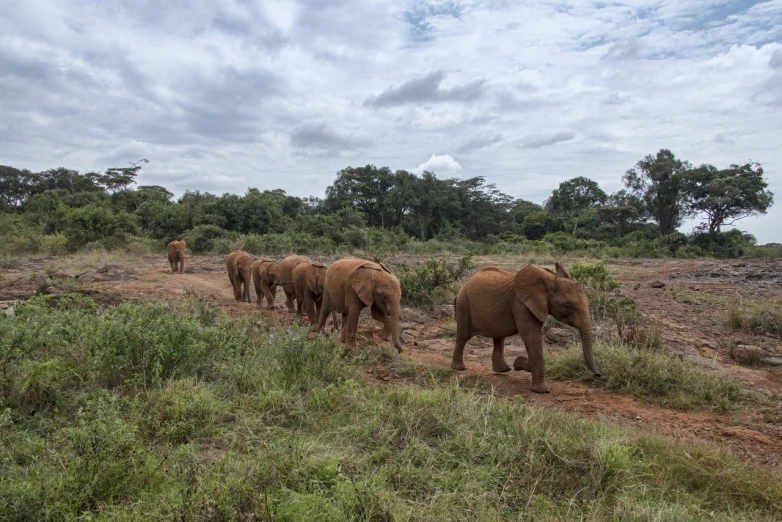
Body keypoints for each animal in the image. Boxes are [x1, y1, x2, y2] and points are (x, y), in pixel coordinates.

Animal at [450, 262, 604, 392]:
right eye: (568, 306)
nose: (598, 375)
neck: (551, 280)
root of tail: (464, 284)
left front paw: (519, 363)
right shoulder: (521, 305)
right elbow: (532, 336)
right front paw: (541, 390)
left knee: (499, 337)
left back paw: (503, 370)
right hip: (464, 304)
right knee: (463, 335)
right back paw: (459, 368)